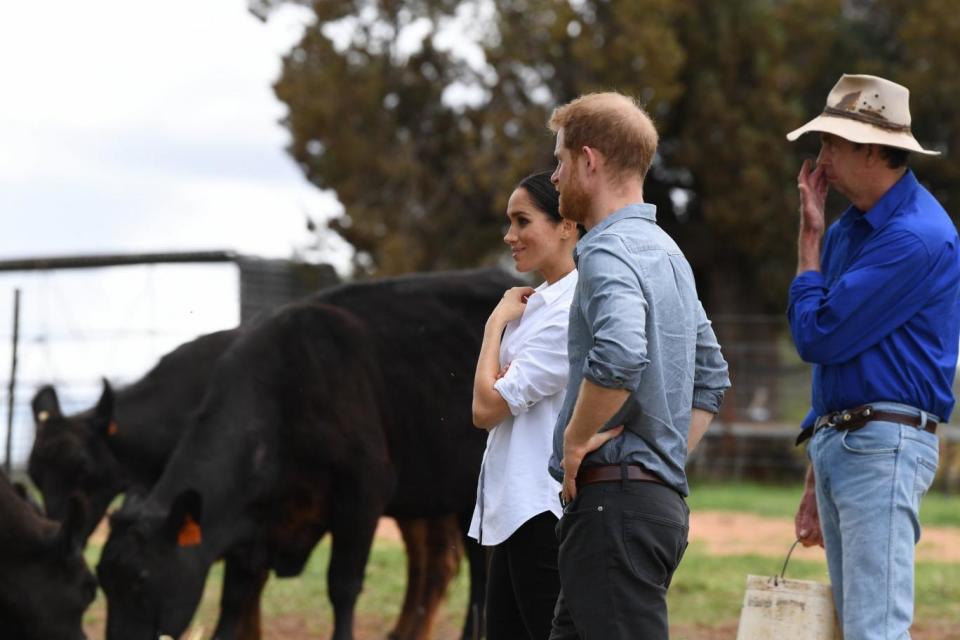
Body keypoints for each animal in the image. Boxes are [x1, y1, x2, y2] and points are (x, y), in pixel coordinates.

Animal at [97, 268, 512, 636]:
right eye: (103, 580)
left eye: (141, 581)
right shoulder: (251, 528)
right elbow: (234, 601)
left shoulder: (363, 493)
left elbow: (342, 587)